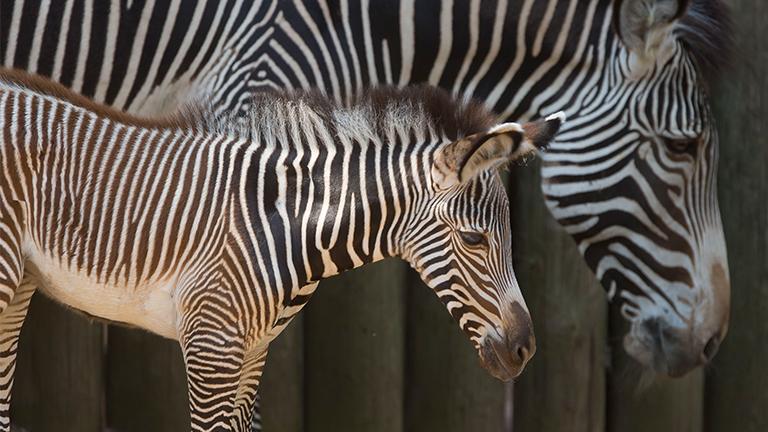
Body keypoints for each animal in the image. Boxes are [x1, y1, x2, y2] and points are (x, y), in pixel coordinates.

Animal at [0, 69, 560, 430]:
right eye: (473, 239)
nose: (526, 349)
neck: (288, 224)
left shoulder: (252, 353)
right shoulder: (211, 346)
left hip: (19, 284)